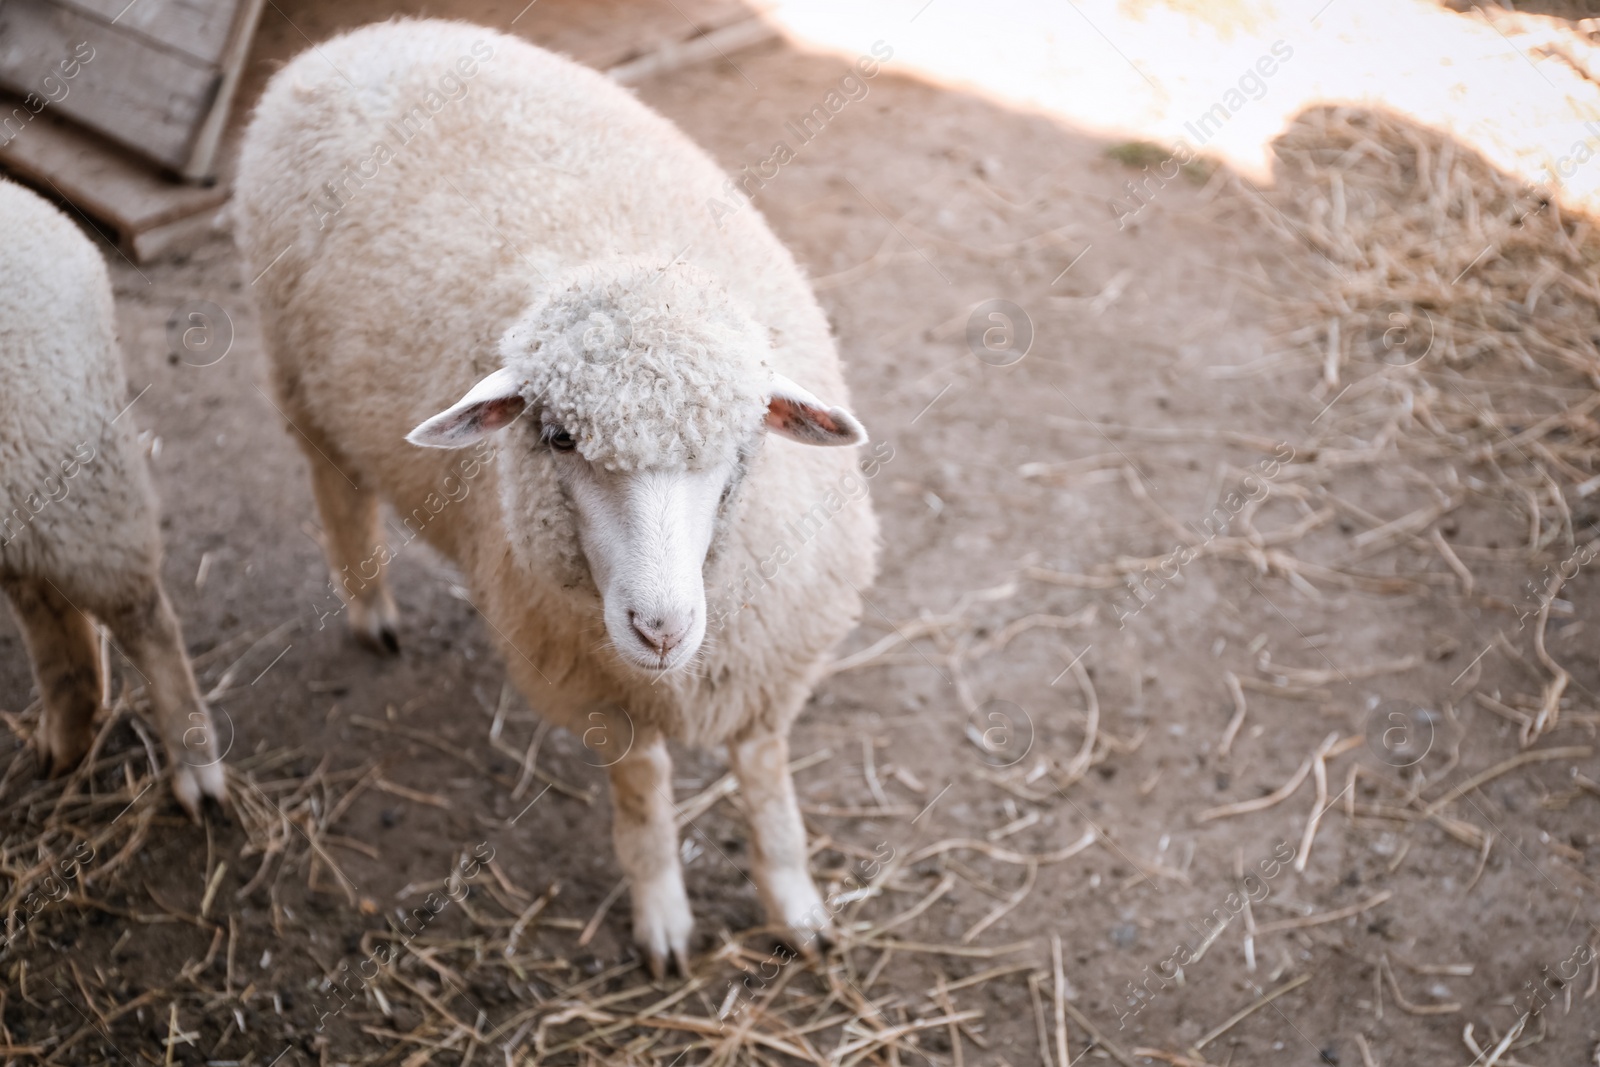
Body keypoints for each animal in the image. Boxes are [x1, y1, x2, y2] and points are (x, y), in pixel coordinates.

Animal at [236, 18, 883, 979]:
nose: (660, 627)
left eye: (742, 447)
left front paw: (796, 905)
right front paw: (663, 917)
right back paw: (370, 607)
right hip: (297, 379)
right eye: (559, 438)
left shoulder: (771, 655)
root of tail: (351, 40)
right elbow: (646, 793)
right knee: (338, 491)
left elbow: (767, 777)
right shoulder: (599, 688)